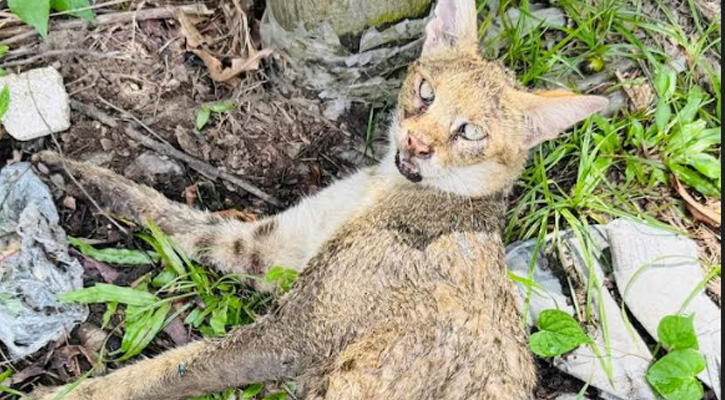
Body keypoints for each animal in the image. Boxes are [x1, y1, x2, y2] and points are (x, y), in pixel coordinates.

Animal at [26, 0, 604, 398]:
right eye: (426, 92)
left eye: (470, 132)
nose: (416, 144)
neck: (381, 189)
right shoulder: (271, 249)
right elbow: (174, 216)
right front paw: (71, 171)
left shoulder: (296, 334)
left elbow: (164, 370)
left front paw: (59, 394)